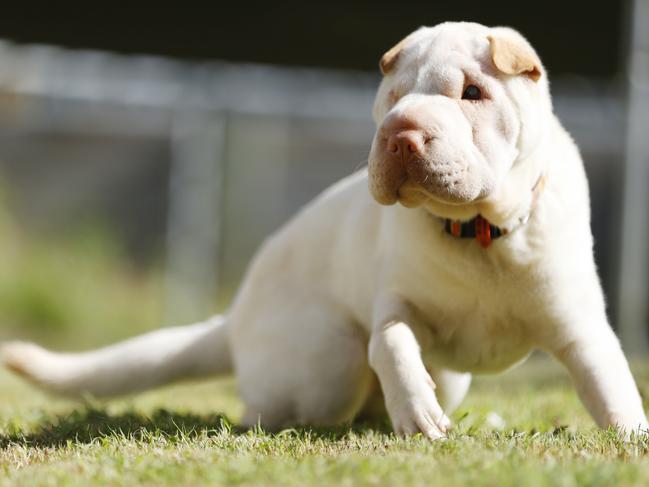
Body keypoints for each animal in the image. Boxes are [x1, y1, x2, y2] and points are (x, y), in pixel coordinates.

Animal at [2, 21, 644, 438]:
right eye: (392, 97)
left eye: (473, 93)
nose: (401, 133)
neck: (478, 233)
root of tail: (232, 320)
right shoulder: (395, 303)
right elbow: (390, 341)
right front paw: (418, 414)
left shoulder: (578, 324)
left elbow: (608, 380)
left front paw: (629, 436)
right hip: (328, 362)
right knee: (290, 402)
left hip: (444, 376)